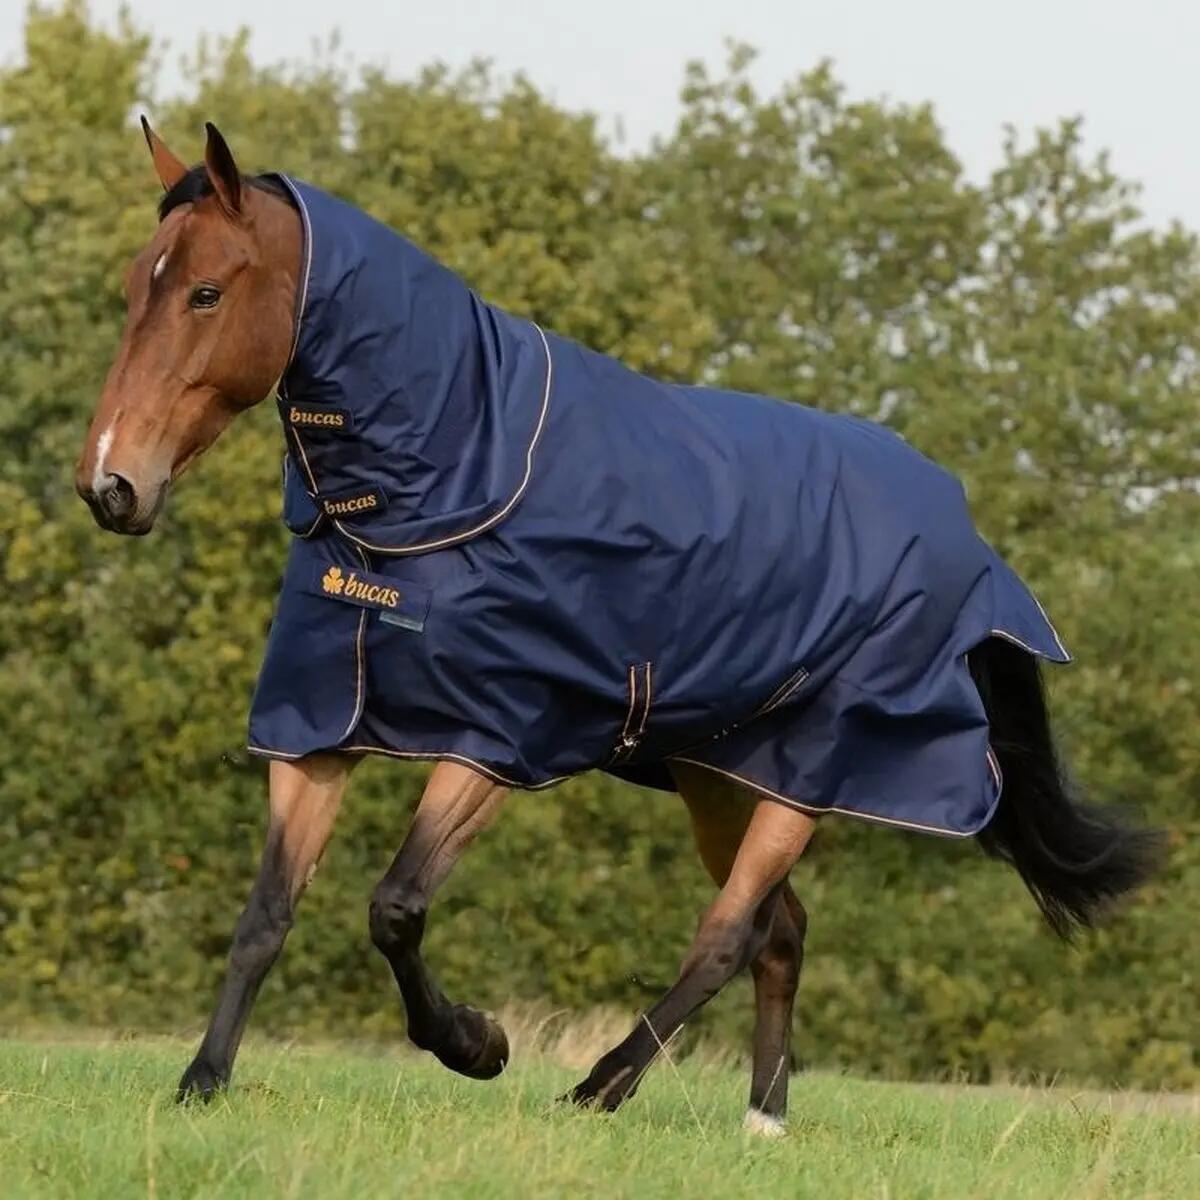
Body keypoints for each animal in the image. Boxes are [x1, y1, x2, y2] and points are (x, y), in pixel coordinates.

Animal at [76, 120, 1162, 1133]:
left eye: (205, 293)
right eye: (135, 286)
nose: (110, 484)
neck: (450, 469)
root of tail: (962, 529)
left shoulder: (495, 738)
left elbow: (396, 908)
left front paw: (477, 1044)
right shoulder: (319, 725)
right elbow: (266, 913)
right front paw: (202, 1084)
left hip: (813, 773)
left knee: (727, 935)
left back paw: (599, 1087)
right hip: (725, 773)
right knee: (780, 931)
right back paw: (763, 1118)